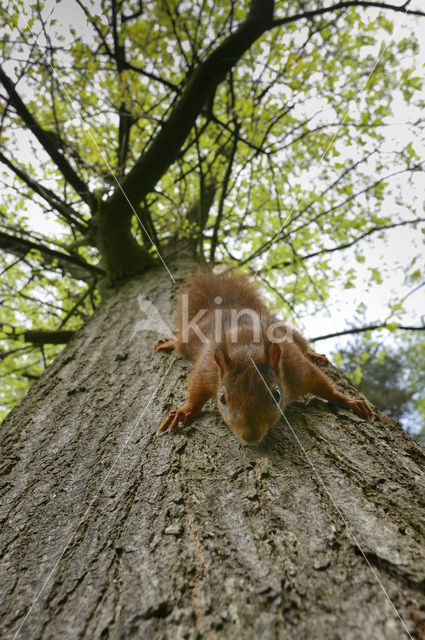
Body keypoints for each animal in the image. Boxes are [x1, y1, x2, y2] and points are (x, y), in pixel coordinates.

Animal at [154, 270, 372, 444]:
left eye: (277, 395)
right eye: (222, 398)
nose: (250, 437)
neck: (247, 350)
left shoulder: (297, 368)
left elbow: (323, 384)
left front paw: (348, 400)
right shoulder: (207, 370)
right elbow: (195, 392)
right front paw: (183, 411)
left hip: (292, 333)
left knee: (304, 346)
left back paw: (315, 353)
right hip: (190, 339)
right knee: (179, 342)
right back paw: (168, 342)